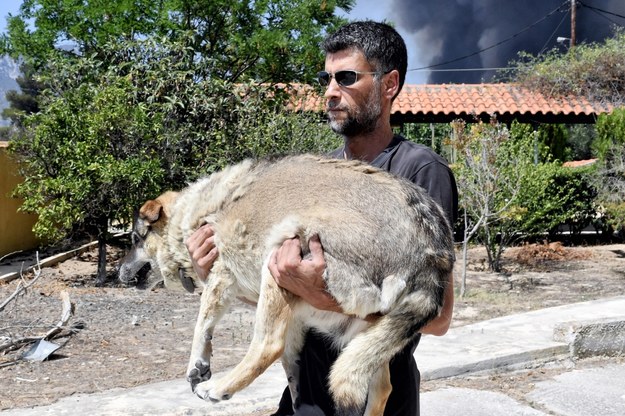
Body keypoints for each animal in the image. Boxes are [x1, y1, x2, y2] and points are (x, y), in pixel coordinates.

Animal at [117, 155, 454, 416]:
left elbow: (202, 326)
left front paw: (197, 366)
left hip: (279, 253)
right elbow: (292, 369)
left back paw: (218, 388)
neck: (191, 214)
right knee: (381, 386)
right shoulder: (296, 318)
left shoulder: (220, 275)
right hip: (362, 334)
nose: (118, 272)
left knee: (268, 344)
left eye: (134, 239)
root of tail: (431, 250)